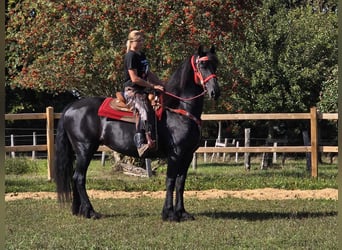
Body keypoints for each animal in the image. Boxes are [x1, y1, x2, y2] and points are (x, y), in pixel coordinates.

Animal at [53, 45, 219, 221]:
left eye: (215, 64)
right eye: (202, 65)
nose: (215, 92)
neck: (179, 109)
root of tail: (71, 107)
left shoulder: (187, 155)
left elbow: (181, 183)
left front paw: (182, 212)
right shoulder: (175, 154)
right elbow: (170, 181)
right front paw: (169, 213)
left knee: (75, 177)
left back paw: (80, 211)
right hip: (85, 149)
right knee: (79, 178)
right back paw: (91, 211)